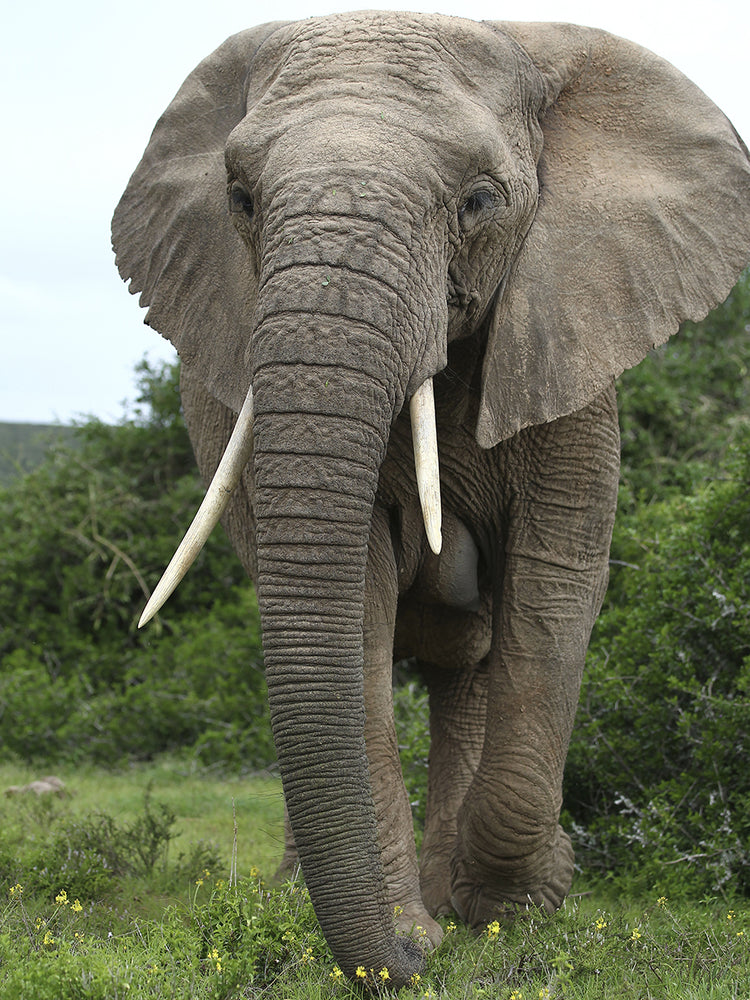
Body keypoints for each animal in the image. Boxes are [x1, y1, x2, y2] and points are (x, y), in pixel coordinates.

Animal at [112, 11, 750, 987]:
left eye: (480, 201)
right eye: (242, 200)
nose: (409, 966)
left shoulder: (568, 349)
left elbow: (554, 590)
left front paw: (519, 904)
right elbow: (355, 604)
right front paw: (418, 929)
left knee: (472, 674)